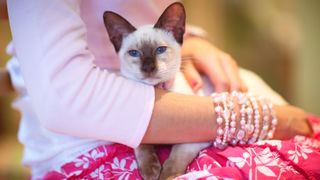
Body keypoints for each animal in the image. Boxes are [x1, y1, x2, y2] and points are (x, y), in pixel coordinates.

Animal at [104, 2, 211, 179]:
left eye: (160, 50)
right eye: (134, 53)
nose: (148, 67)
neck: (157, 89)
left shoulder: (194, 141)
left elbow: (176, 157)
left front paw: (165, 175)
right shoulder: (136, 133)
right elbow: (143, 146)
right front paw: (150, 170)